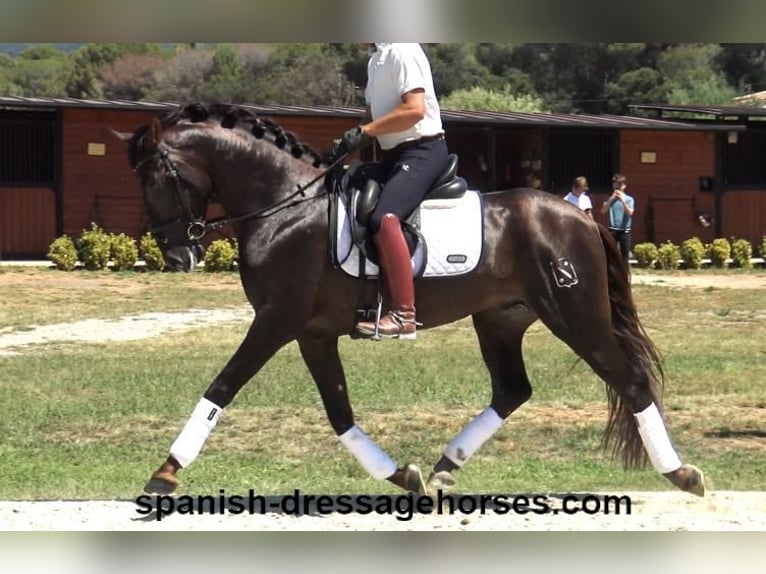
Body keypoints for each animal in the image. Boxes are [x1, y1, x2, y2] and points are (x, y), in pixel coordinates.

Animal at [118, 102, 708, 500]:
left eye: (158, 176)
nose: (177, 255)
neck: (284, 206)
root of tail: (582, 216)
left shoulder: (276, 320)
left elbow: (222, 386)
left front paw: (164, 473)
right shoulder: (312, 333)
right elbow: (339, 414)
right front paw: (403, 475)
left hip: (576, 316)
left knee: (632, 381)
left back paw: (681, 474)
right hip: (500, 320)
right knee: (512, 390)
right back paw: (446, 465)